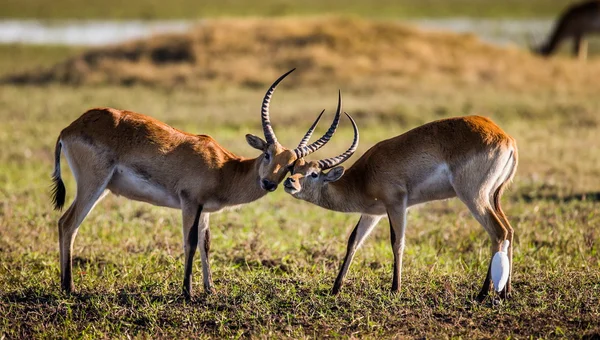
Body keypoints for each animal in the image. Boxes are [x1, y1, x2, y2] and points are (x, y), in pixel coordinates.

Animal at [51, 69, 344, 298]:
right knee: (68, 223)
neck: (225, 169)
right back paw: (69, 287)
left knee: (67, 223)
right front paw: (187, 292)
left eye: (290, 166)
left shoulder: (205, 209)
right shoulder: (189, 202)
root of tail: (70, 128)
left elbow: (205, 243)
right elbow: (189, 242)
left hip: (101, 188)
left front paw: (209, 289)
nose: (269, 183)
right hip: (93, 184)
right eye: (267, 154)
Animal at [284, 115, 516, 300]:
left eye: (314, 174)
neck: (363, 178)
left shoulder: (396, 204)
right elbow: (354, 241)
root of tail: (506, 138)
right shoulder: (372, 213)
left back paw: (483, 293)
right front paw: (335, 289)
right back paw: (505, 292)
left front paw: (395, 289)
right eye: (294, 169)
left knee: (498, 231)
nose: (289, 183)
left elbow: (397, 242)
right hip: (492, 197)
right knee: (509, 231)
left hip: (473, 196)